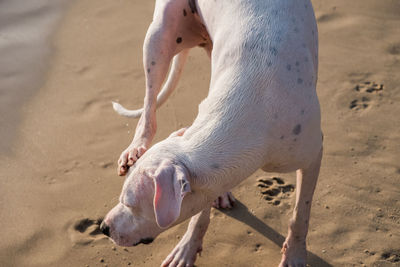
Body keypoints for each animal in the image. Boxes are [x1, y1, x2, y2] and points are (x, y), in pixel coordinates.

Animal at [102, 0, 322, 266]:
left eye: (129, 203)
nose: (103, 227)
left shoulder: (313, 156)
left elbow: (302, 212)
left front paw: (295, 254)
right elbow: (200, 212)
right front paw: (188, 247)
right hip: (158, 37)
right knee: (149, 105)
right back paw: (137, 146)